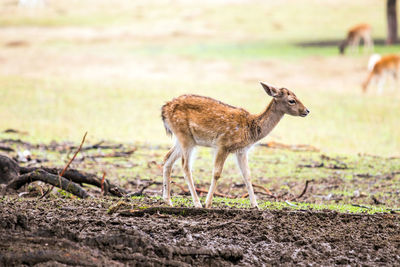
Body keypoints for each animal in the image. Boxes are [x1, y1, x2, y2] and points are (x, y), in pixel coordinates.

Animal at [162, 81, 310, 209]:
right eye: (292, 100)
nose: (307, 110)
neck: (251, 130)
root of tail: (164, 109)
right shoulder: (223, 144)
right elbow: (217, 173)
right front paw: (208, 203)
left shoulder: (242, 151)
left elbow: (247, 175)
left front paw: (255, 205)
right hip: (185, 136)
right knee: (185, 166)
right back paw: (197, 203)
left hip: (183, 139)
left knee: (167, 158)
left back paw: (168, 200)